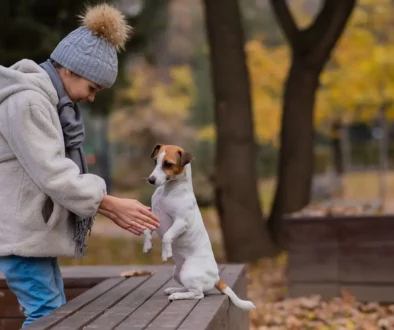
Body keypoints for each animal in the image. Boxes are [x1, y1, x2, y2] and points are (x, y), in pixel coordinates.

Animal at [142, 143, 255, 310]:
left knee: (198, 294)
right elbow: (146, 230)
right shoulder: (155, 216)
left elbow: (167, 236)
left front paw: (165, 253)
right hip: (178, 273)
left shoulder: (181, 222)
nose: (150, 180)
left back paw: (177, 295)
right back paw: (174, 289)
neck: (168, 191)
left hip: (188, 272)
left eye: (168, 164)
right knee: (191, 289)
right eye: (155, 161)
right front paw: (147, 246)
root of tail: (216, 278)